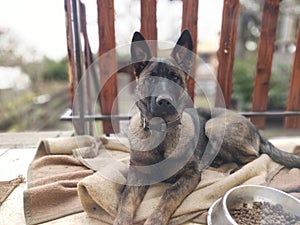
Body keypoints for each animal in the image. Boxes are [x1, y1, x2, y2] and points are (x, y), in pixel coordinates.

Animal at [113, 29, 300, 225]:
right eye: (151, 79)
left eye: (175, 78)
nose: (164, 101)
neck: (162, 133)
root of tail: (254, 126)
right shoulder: (137, 174)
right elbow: (126, 200)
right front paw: (121, 220)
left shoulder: (191, 174)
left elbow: (169, 193)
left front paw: (155, 219)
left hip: (213, 126)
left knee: (256, 157)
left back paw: (235, 170)